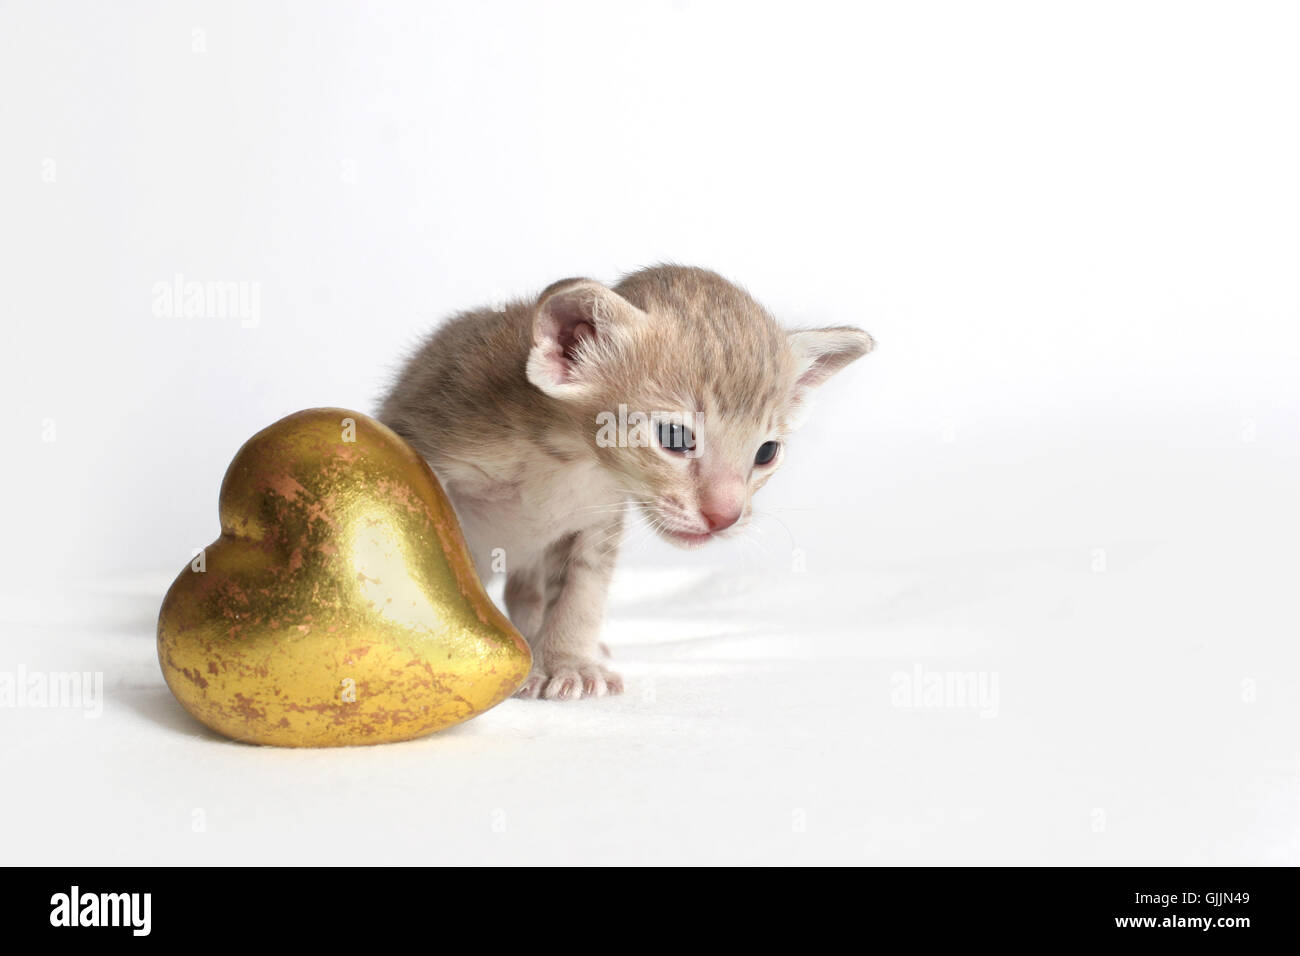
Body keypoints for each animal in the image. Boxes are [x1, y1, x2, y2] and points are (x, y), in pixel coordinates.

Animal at [379, 265, 873, 697]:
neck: (564, 457)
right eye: (675, 437)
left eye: (765, 452)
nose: (725, 516)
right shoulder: (431, 442)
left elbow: (582, 591)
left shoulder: (598, 518)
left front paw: (567, 662)